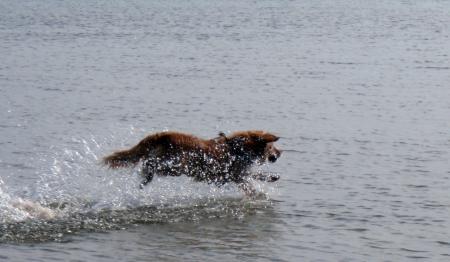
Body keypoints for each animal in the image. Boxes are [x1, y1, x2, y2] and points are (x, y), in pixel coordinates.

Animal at [103, 130, 284, 194]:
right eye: (272, 146)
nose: (280, 153)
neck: (237, 149)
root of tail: (162, 135)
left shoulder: (237, 174)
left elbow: (255, 175)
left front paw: (272, 177)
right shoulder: (235, 174)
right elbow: (251, 179)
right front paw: (257, 191)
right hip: (175, 166)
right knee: (150, 165)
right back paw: (147, 175)